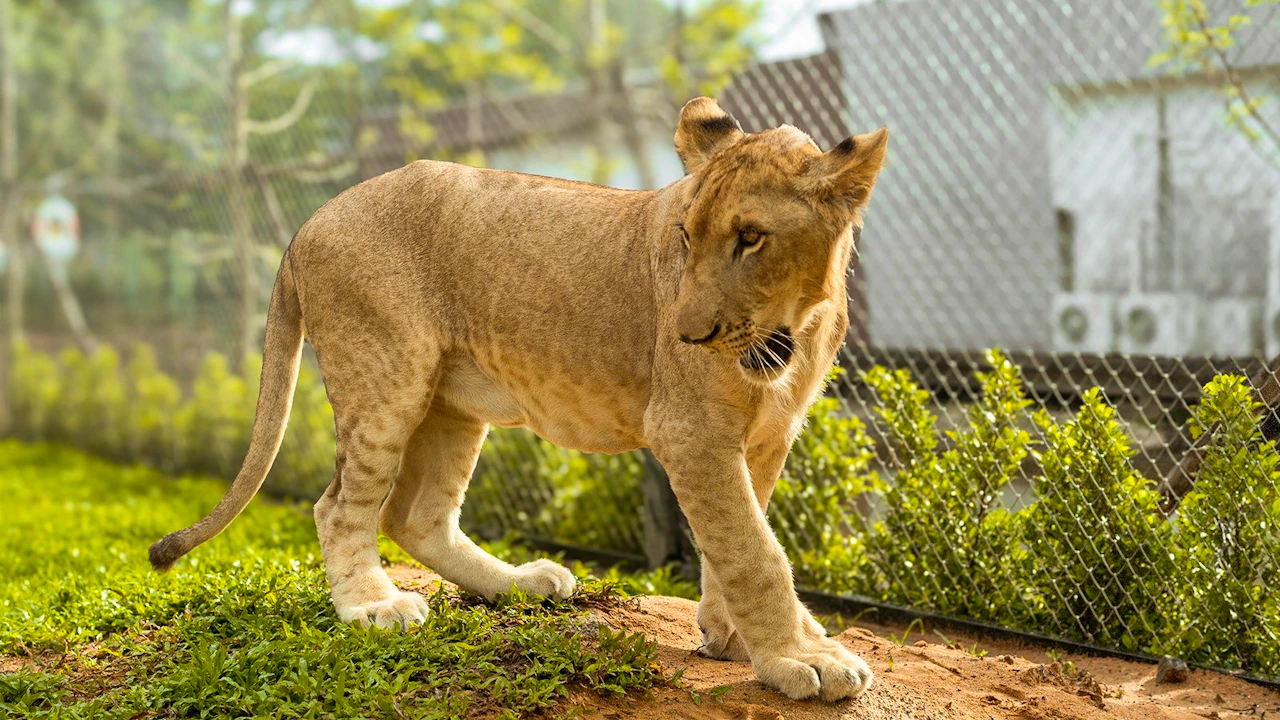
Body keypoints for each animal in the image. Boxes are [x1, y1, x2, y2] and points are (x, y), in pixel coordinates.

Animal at [149, 97, 888, 702]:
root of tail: (309, 221)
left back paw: (521, 585)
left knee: (417, 517)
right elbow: (754, 551)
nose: (685, 335)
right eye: (685, 237)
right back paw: (373, 607)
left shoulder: (765, 435)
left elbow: (732, 538)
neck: (793, 328)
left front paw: (730, 634)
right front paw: (800, 658)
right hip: (387, 381)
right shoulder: (690, 432)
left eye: (751, 238)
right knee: (339, 507)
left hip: (451, 404)